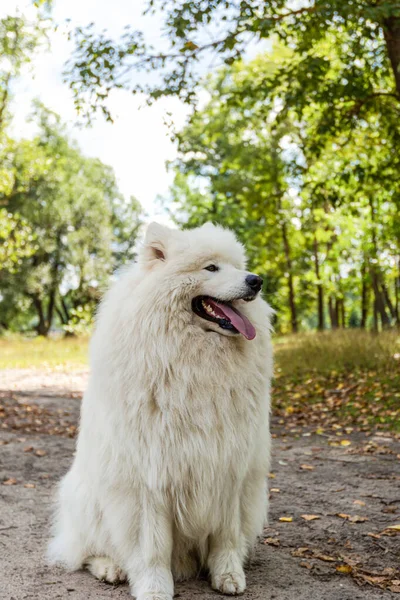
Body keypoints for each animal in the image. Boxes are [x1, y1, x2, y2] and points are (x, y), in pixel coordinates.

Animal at [47, 224, 272, 600]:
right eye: (211, 268)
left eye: (239, 267)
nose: (256, 280)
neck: (195, 362)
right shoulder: (147, 478)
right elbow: (151, 547)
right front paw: (154, 588)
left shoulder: (229, 467)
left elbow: (225, 537)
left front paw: (227, 575)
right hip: (87, 502)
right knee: (83, 552)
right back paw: (110, 568)